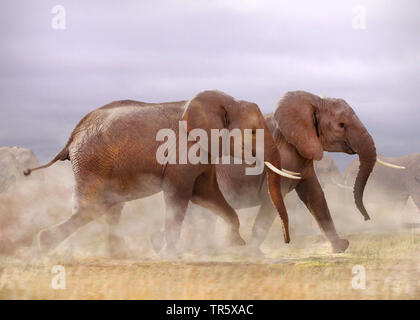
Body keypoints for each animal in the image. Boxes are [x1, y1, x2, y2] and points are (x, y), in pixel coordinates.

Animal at [23, 89, 296, 258]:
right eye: (253, 132)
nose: (287, 241)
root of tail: (72, 138)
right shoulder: (183, 150)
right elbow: (179, 194)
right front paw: (171, 254)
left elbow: (206, 193)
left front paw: (235, 245)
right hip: (93, 163)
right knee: (94, 207)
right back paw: (44, 245)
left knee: (110, 207)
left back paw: (118, 255)